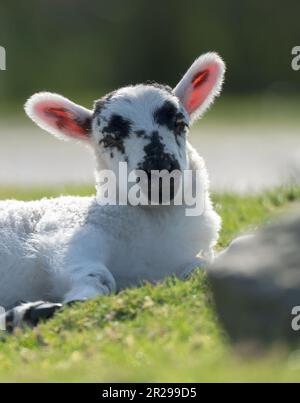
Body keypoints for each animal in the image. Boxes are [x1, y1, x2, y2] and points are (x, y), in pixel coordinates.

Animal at [0, 52, 225, 330]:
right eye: (109, 139)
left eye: (180, 124)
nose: (159, 177)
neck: (156, 226)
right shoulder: (69, 236)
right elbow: (97, 278)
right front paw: (53, 308)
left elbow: (202, 267)